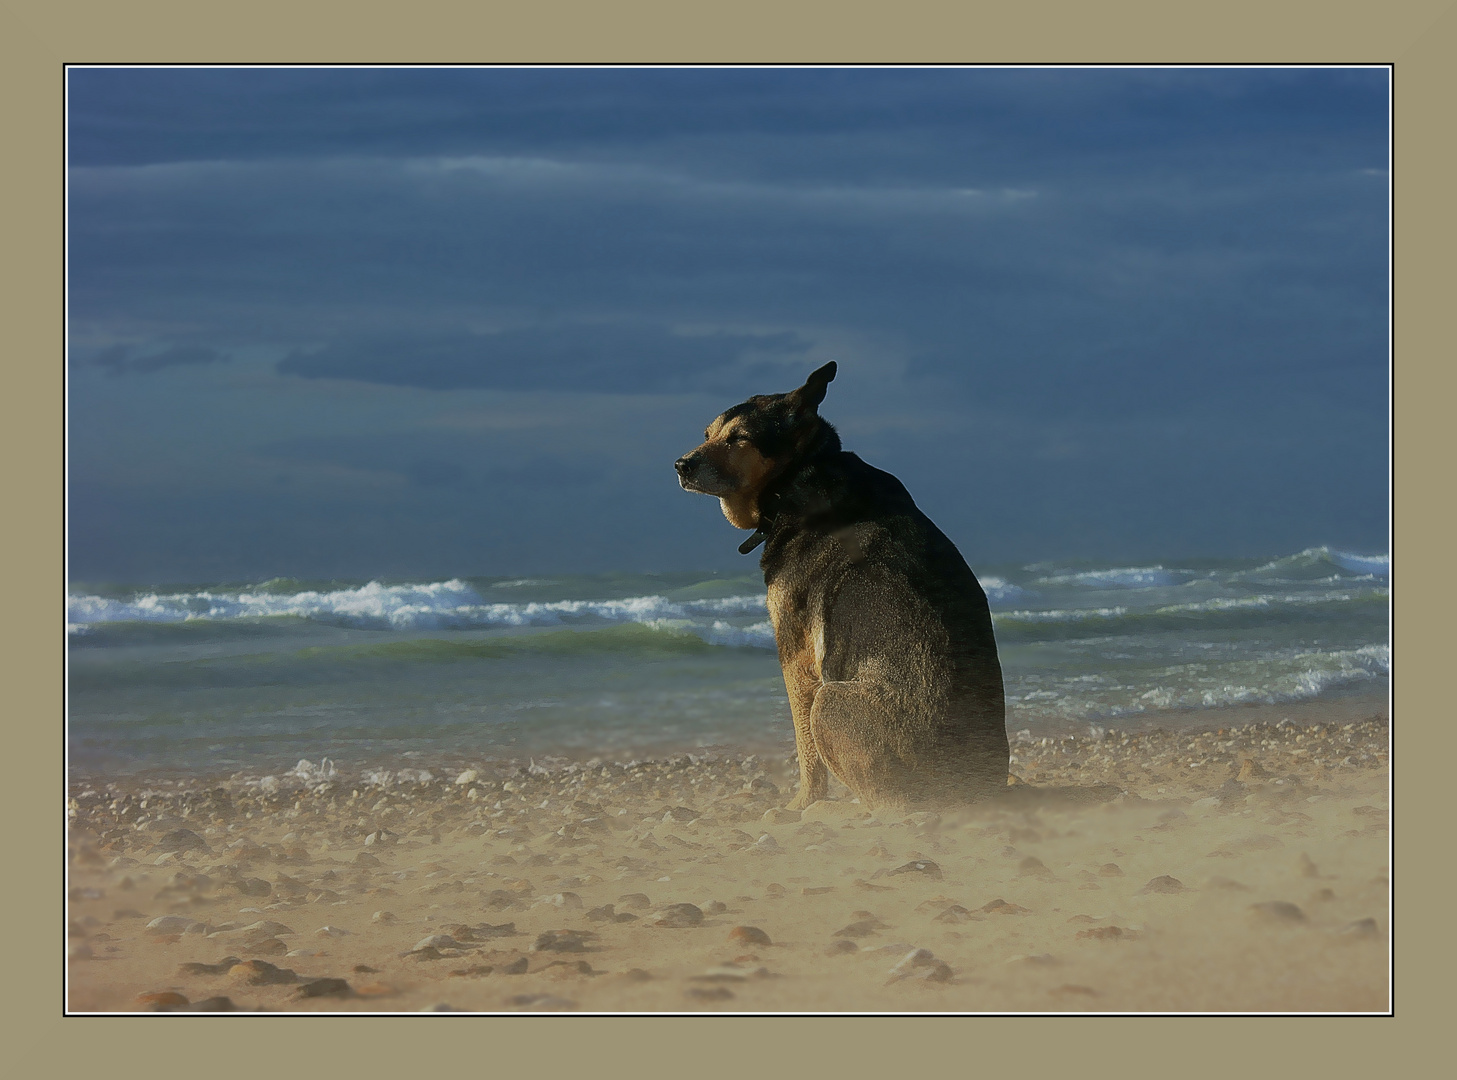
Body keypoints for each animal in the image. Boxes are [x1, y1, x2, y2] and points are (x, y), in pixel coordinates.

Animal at [676, 362, 1008, 810]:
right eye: (708, 433)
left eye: (739, 438)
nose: (681, 465)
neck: (796, 476)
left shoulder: (795, 655)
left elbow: (806, 750)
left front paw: (803, 804)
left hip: (829, 702)